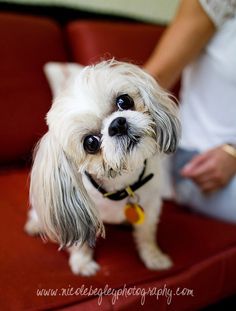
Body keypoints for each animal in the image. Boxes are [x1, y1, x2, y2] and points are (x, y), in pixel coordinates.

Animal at [24, 59, 180, 276]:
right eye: (90, 143)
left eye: (124, 101)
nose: (118, 124)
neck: (123, 185)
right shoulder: (81, 217)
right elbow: (80, 242)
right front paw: (83, 263)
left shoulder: (150, 206)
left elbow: (146, 235)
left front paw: (153, 256)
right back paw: (35, 225)